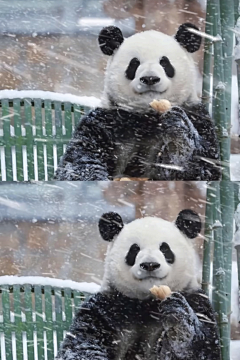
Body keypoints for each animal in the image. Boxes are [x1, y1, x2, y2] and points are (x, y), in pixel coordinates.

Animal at [54, 22, 221, 180]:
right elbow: (78, 162)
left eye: (164, 62)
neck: (147, 115)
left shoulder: (197, 116)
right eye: (134, 63)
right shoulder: (103, 121)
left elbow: (204, 167)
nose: (150, 78)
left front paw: (177, 134)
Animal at [56, 210, 221, 358]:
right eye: (134, 250)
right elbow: (82, 344)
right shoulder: (104, 307)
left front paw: (178, 319)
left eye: (165, 249)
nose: (150, 264)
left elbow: (204, 347)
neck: (146, 303)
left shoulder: (197, 302)